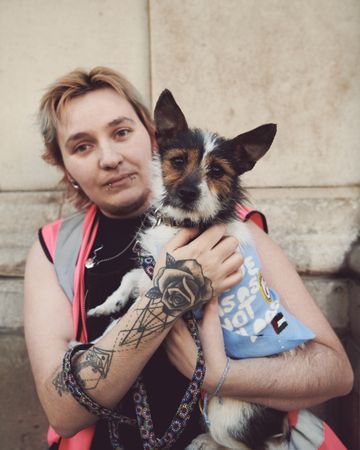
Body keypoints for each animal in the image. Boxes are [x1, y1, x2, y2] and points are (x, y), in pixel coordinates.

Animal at [88, 91, 314, 450]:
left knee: (241, 444)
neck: (186, 223)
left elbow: (126, 316)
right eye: (178, 161)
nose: (188, 192)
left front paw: (98, 341)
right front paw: (107, 306)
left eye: (217, 171)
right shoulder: (155, 268)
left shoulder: (176, 299)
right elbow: (130, 278)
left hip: (227, 411)